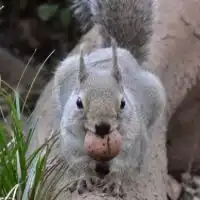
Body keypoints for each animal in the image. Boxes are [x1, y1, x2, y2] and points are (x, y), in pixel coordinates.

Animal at [53, 0, 167, 198]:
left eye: (123, 103)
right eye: (79, 103)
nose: (102, 127)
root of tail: (120, 51)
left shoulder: (132, 143)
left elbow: (122, 166)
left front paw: (114, 182)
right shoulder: (71, 141)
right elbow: (79, 162)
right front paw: (85, 178)